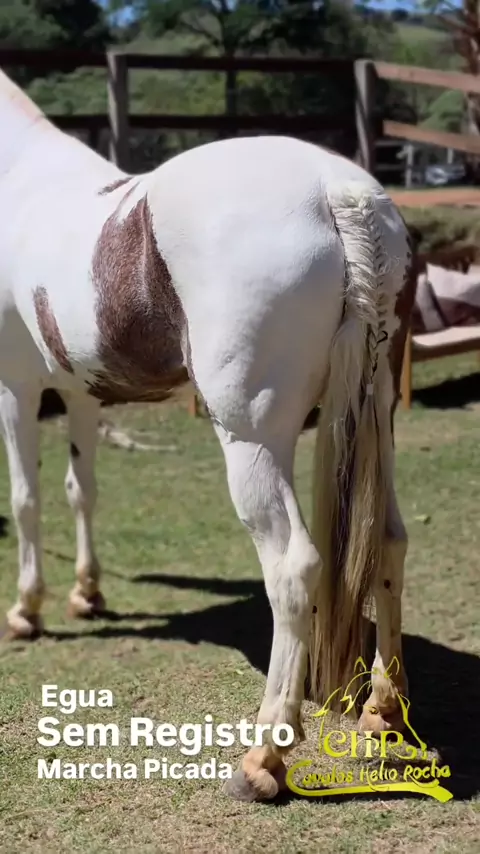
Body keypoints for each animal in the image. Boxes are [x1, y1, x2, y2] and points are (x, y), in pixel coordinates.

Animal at [0, 68, 416, 801]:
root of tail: (339, 191)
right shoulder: (78, 393)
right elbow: (82, 491)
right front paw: (87, 594)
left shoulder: (17, 389)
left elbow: (26, 501)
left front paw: (28, 612)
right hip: (380, 421)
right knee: (389, 541)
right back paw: (381, 711)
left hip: (252, 442)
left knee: (294, 568)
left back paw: (264, 758)